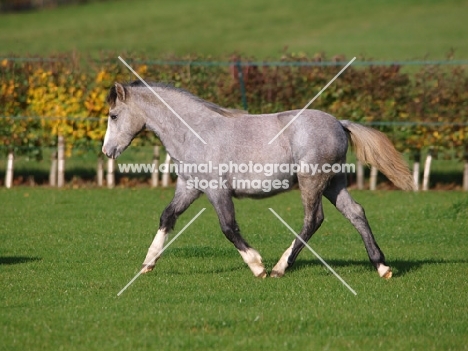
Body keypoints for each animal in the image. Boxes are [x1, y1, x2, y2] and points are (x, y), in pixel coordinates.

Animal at [102, 81, 414, 282]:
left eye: (113, 115)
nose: (107, 151)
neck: (196, 132)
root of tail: (339, 123)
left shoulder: (217, 190)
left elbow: (228, 227)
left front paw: (257, 266)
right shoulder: (189, 187)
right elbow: (167, 217)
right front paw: (148, 263)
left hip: (312, 181)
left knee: (313, 220)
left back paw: (279, 268)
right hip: (334, 183)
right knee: (356, 213)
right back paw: (382, 267)